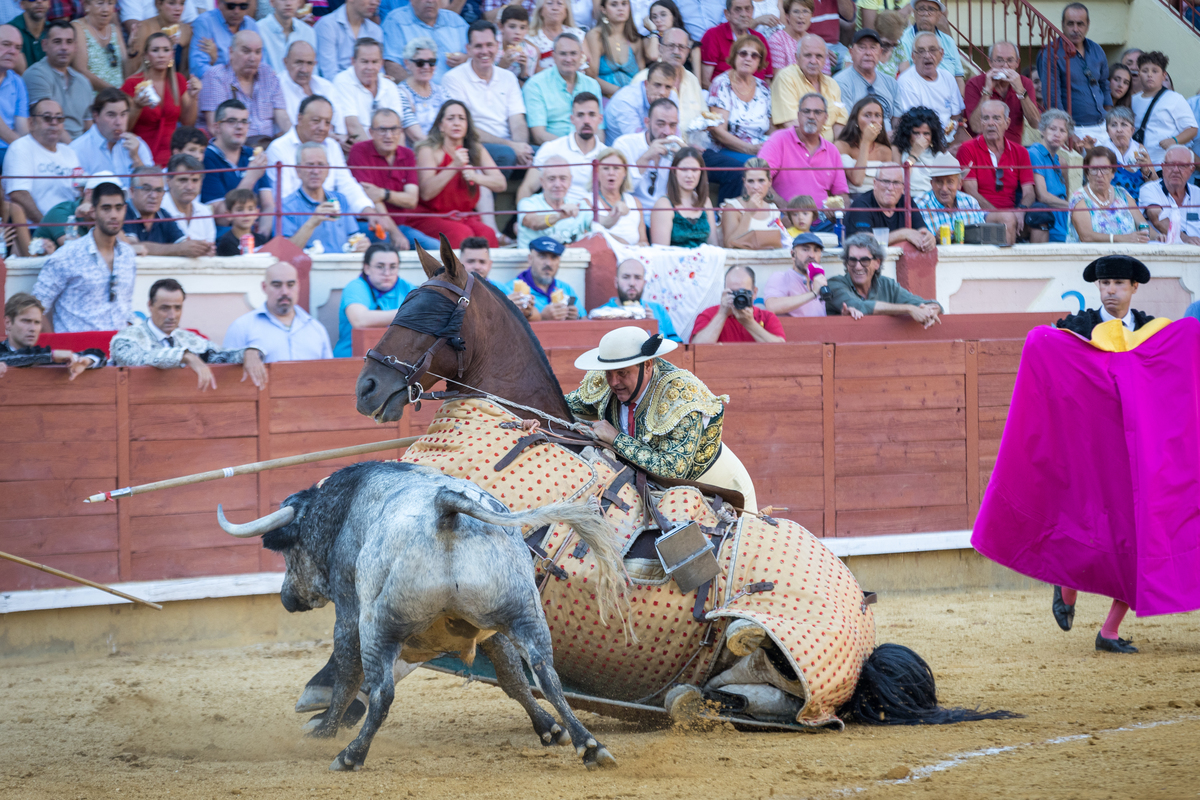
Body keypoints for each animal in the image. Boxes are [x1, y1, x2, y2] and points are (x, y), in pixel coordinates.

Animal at [218, 460, 628, 772]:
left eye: (290, 550)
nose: (287, 599)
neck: (343, 508)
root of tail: (443, 507)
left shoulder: (348, 614)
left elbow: (347, 675)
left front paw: (324, 729)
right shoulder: (491, 631)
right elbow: (512, 678)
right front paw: (549, 729)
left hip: (378, 625)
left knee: (382, 691)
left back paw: (350, 756)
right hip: (523, 611)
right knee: (547, 674)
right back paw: (590, 746)